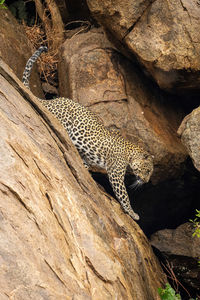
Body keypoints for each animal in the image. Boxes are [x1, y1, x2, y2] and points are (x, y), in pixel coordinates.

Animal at [22, 46, 153, 220]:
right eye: (147, 171)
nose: (146, 181)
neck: (130, 153)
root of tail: (52, 101)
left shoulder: (89, 160)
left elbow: (84, 165)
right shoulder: (115, 173)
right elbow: (124, 195)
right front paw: (133, 213)